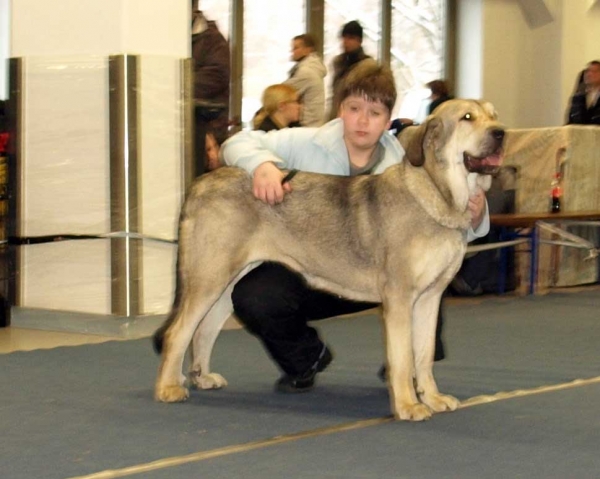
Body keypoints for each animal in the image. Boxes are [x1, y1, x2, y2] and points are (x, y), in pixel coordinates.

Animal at [152, 99, 504, 422]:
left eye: (493, 115)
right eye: (467, 117)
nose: (501, 133)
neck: (438, 194)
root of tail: (202, 182)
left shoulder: (430, 297)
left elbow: (424, 354)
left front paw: (432, 398)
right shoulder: (400, 299)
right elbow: (404, 359)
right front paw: (408, 406)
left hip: (226, 285)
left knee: (204, 330)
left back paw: (201, 377)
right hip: (209, 278)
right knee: (178, 332)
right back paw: (168, 388)